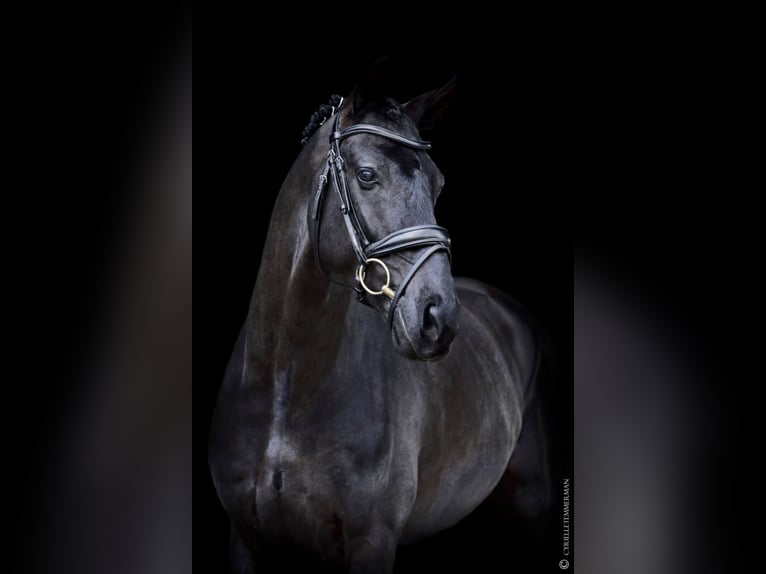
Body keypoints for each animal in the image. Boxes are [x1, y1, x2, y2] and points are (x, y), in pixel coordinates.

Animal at [209, 70, 550, 573]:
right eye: (367, 175)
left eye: (438, 183)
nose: (438, 318)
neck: (284, 387)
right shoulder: (244, 540)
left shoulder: (372, 540)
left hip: (530, 498)